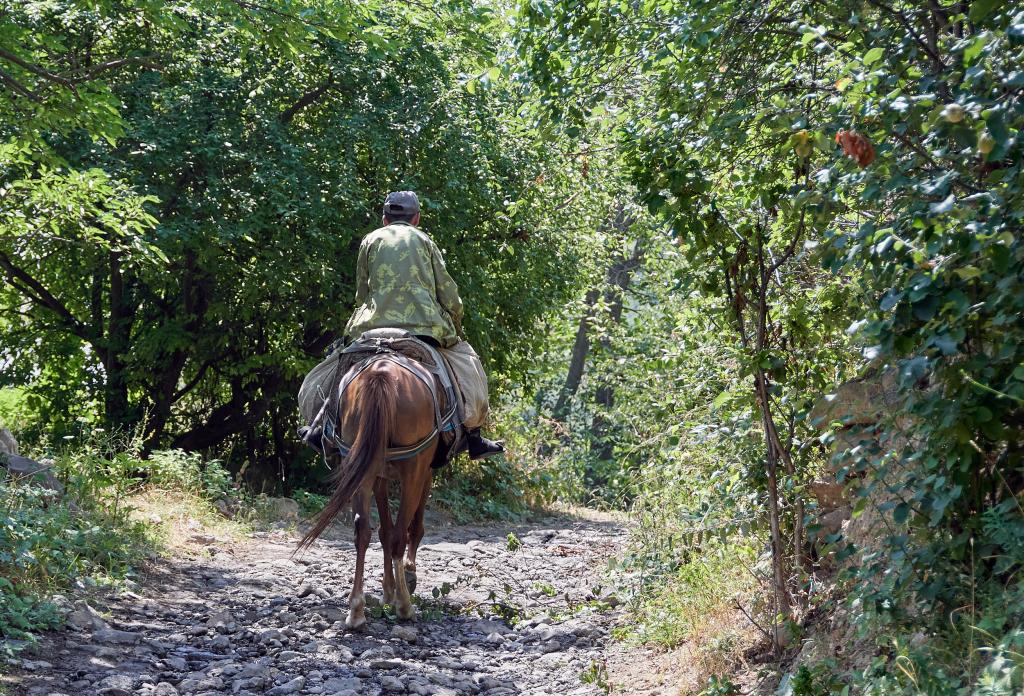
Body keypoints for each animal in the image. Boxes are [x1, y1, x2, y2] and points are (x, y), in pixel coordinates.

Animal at [299, 356, 438, 626]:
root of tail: (381, 373)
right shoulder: (425, 470)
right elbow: (410, 527)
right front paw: (406, 577)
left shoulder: (379, 474)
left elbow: (384, 530)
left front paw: (388, 590)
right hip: (412, 466)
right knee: (399, 535)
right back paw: (404, 606)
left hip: (360, 463)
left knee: (362, 531)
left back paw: (356, 611)